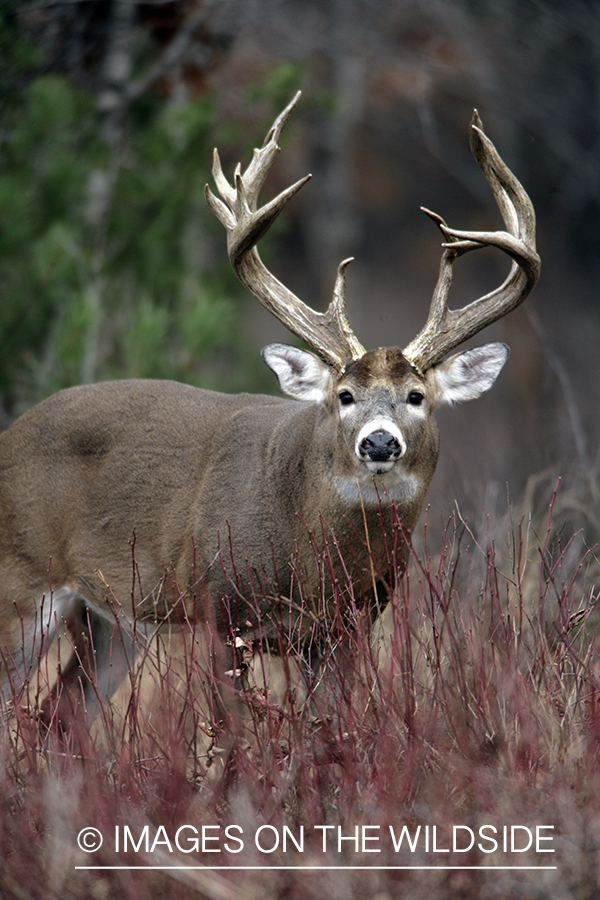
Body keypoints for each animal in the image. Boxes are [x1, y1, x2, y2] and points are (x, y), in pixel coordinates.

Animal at [0, 95, 540, 736]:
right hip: (20, 584)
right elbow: (234, 738)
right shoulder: (216, 609)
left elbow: (332, 734)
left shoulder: (343, 634)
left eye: (416, 396)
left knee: (57, 713)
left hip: (108, 618)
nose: (379, 444)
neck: (313, 566)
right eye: (343, 395)